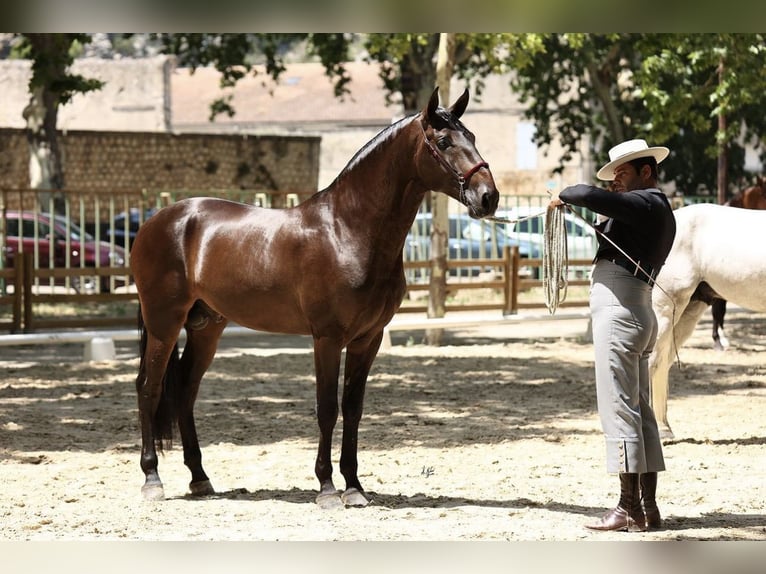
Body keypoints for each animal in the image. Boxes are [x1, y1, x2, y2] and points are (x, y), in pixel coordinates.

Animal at [129, 88, 500, 510]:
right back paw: (152, 479)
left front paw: (354, 487)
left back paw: (200, 478)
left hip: (207, 327)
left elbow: (353, 409)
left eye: (471, 136)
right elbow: (327, 408)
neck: (347, 230)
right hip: (164, 322)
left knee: (185, 393)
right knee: (149, 387)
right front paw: (326, 489)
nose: (488, 197)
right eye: (443, 142)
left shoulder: (367, 339)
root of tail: (157, 220)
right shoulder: (327, 338)